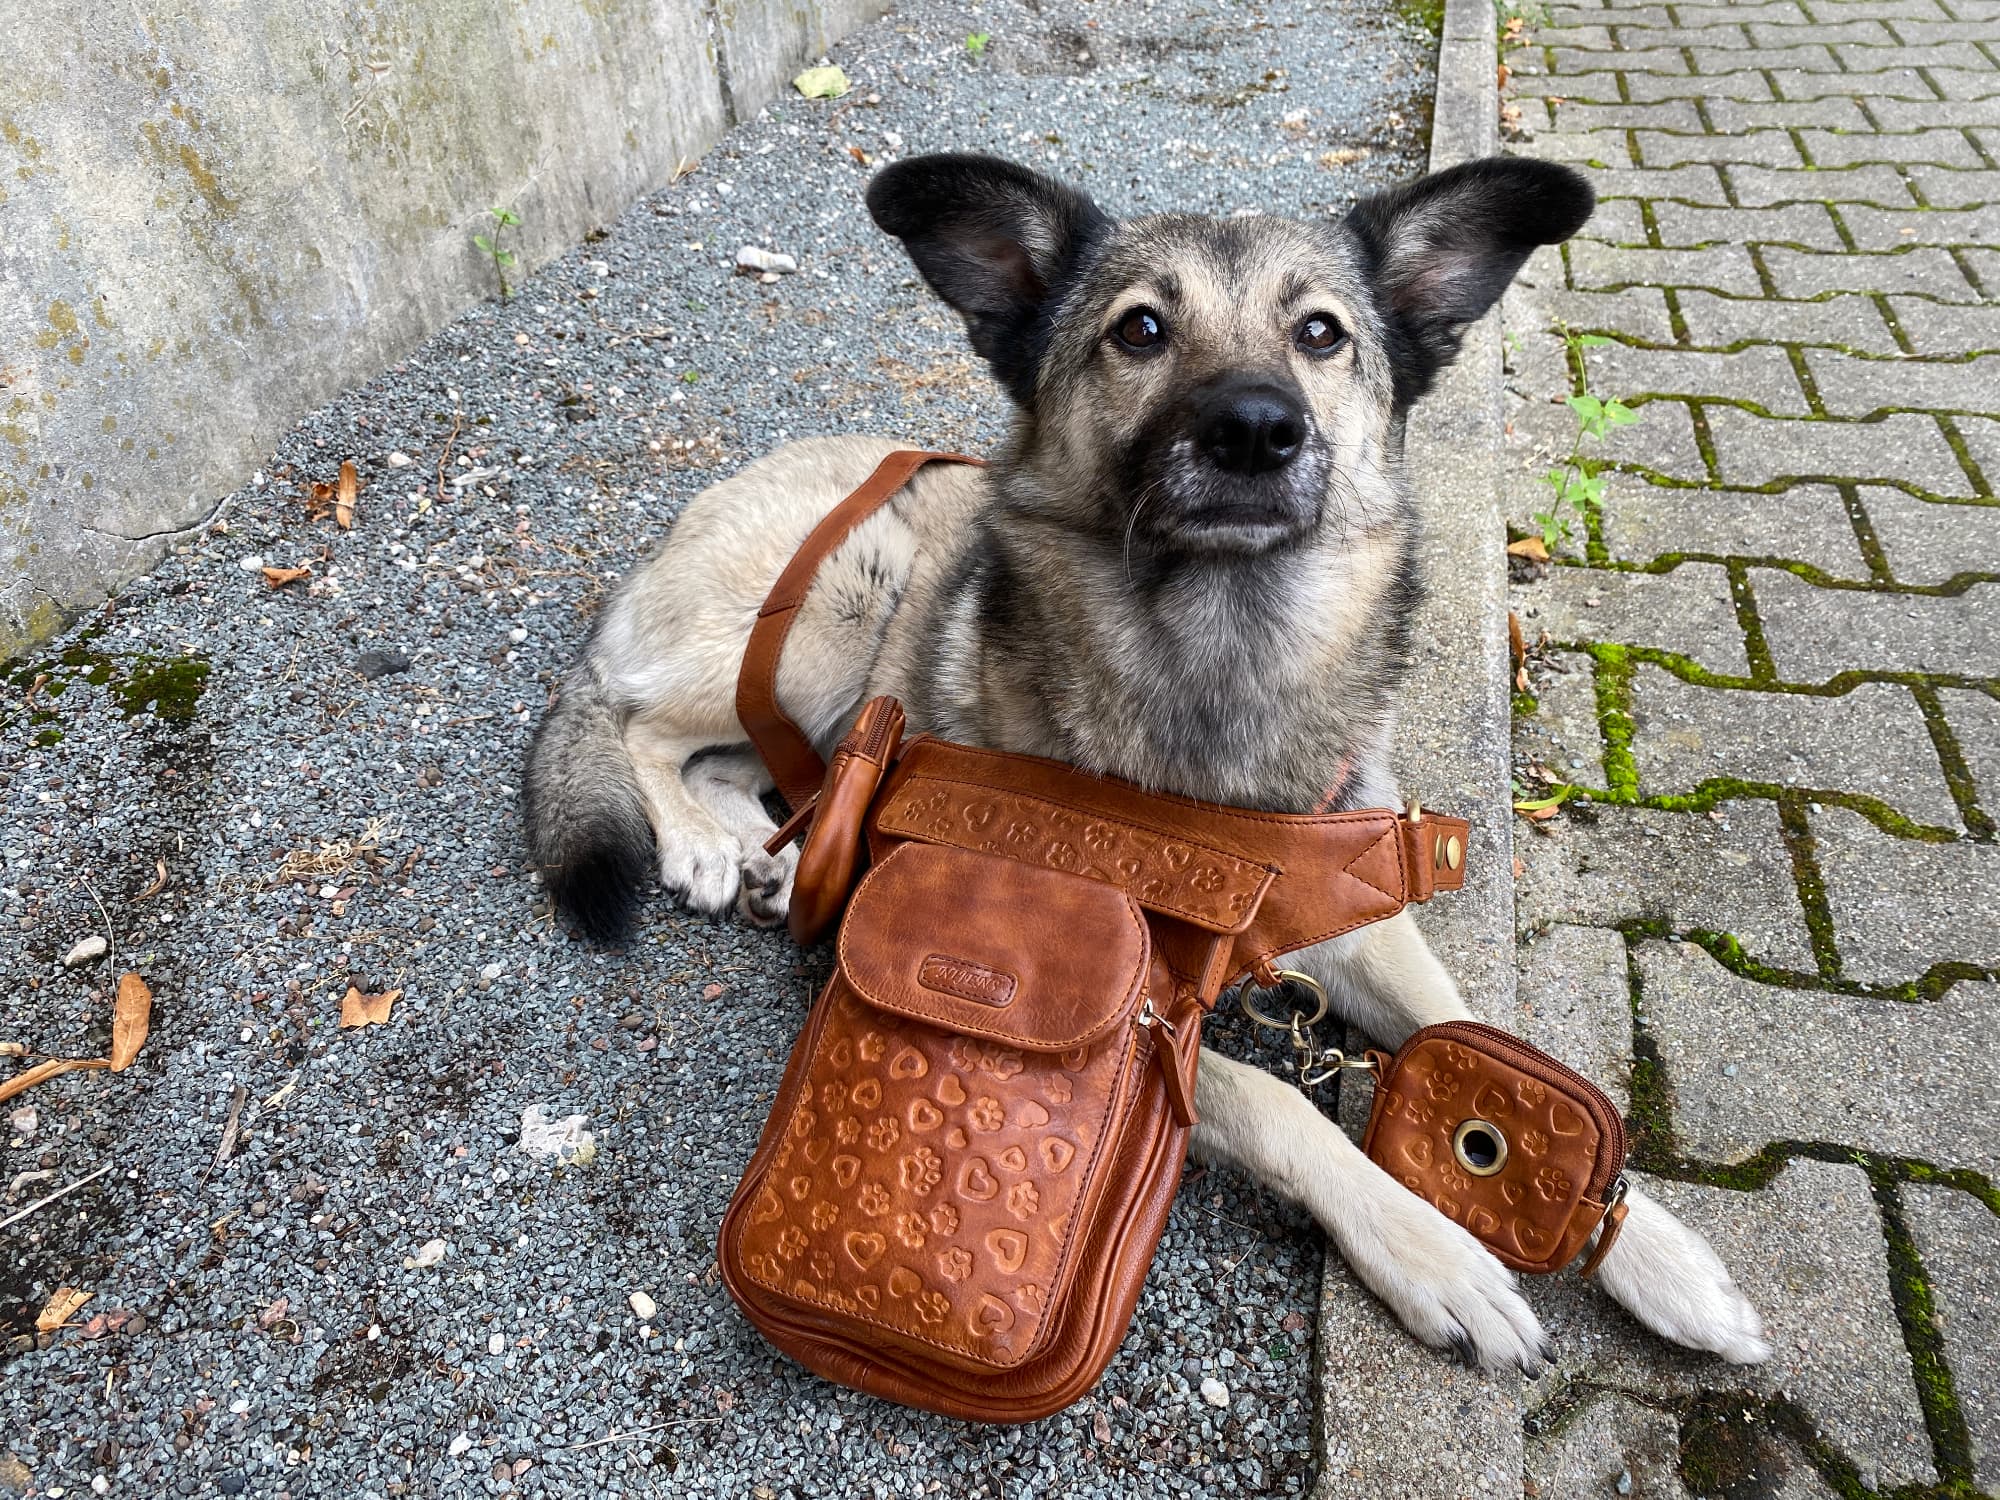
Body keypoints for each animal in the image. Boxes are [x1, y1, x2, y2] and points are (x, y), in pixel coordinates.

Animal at [524, 153, 1776, 1376]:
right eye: (1137, 329)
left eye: (1320, 333)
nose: (1255, 429)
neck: (1222, 658)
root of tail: (687, 523)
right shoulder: (1134, 1030)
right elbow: (1275, 1100)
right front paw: (1433, 1252)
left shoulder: (1360, 919)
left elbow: (1475, 1035)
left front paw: (1648, 1246)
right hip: (840, 596)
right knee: (641, 727)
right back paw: (700, 843)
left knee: (738, 763)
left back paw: (767, 852)